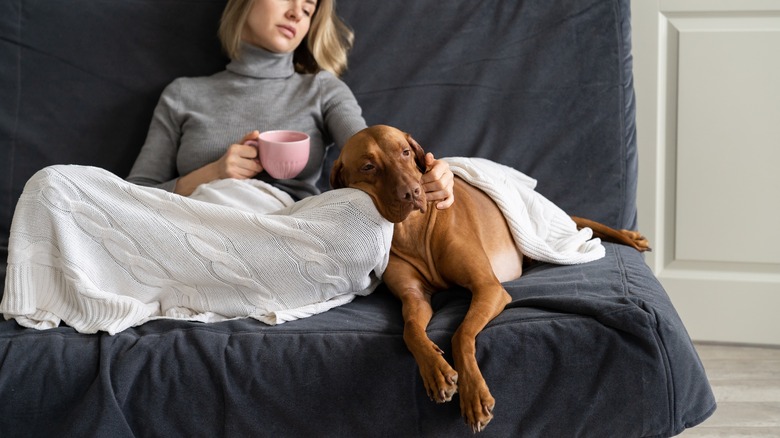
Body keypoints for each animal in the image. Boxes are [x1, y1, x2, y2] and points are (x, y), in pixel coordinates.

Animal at [326, 125, 648, 432]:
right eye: (368, 167)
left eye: (405, 152)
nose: (413, 192)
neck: (413, 230)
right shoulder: (414, 298)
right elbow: (410, 331)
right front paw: (436, 369)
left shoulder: (488, 287)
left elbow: (461, 334)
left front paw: (475, 397)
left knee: (584, 223)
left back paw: (630, 237)